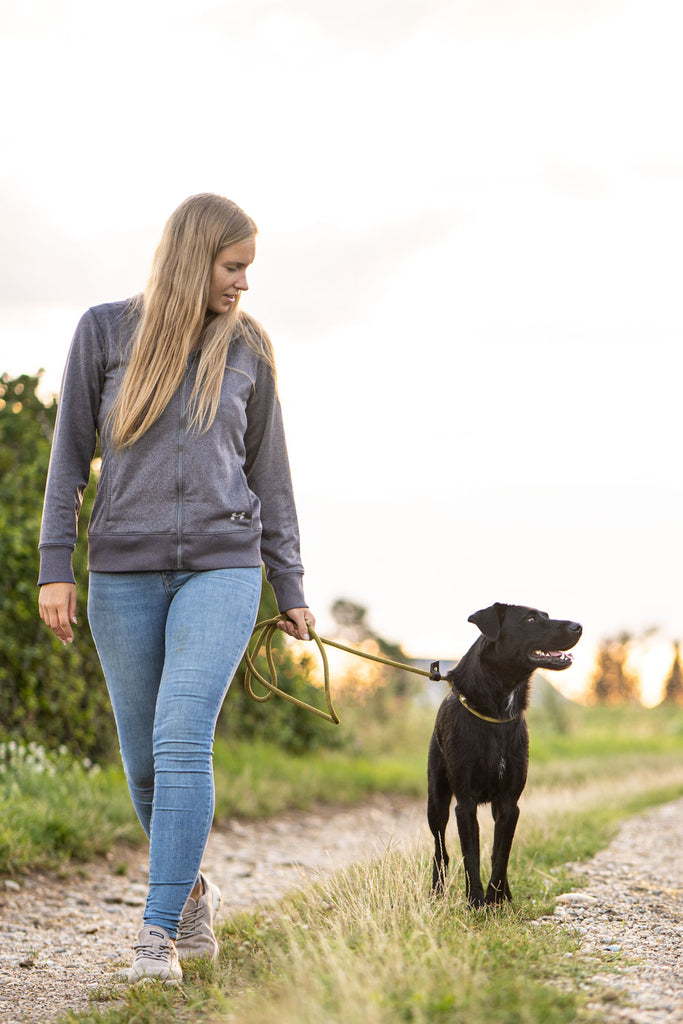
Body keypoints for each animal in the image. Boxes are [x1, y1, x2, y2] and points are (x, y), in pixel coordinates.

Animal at [428, 602, 581, 909]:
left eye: (546, 616)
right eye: (531, 619)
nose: (578, 627)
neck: (499, 707)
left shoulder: (510, 803)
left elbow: (500, 855)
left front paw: (497, 900)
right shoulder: (465, 804)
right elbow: (471, 856)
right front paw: (476, 902)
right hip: (436, 802)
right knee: (441, 851)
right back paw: (437, 891)